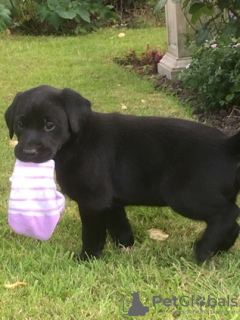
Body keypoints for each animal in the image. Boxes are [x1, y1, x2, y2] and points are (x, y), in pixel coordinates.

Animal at [4, 84, 240, 262]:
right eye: (20, 124)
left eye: (50, 125)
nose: (28, 152)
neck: (77, 142)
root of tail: (227, 146)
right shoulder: (110, 201)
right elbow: (119, 225)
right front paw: (126, 247)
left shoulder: (93, 202)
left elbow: (92, 234)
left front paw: (87, 258)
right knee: (233, 223)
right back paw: (218, 250)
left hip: (183, 194)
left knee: (227, 214)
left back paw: (202, 250)